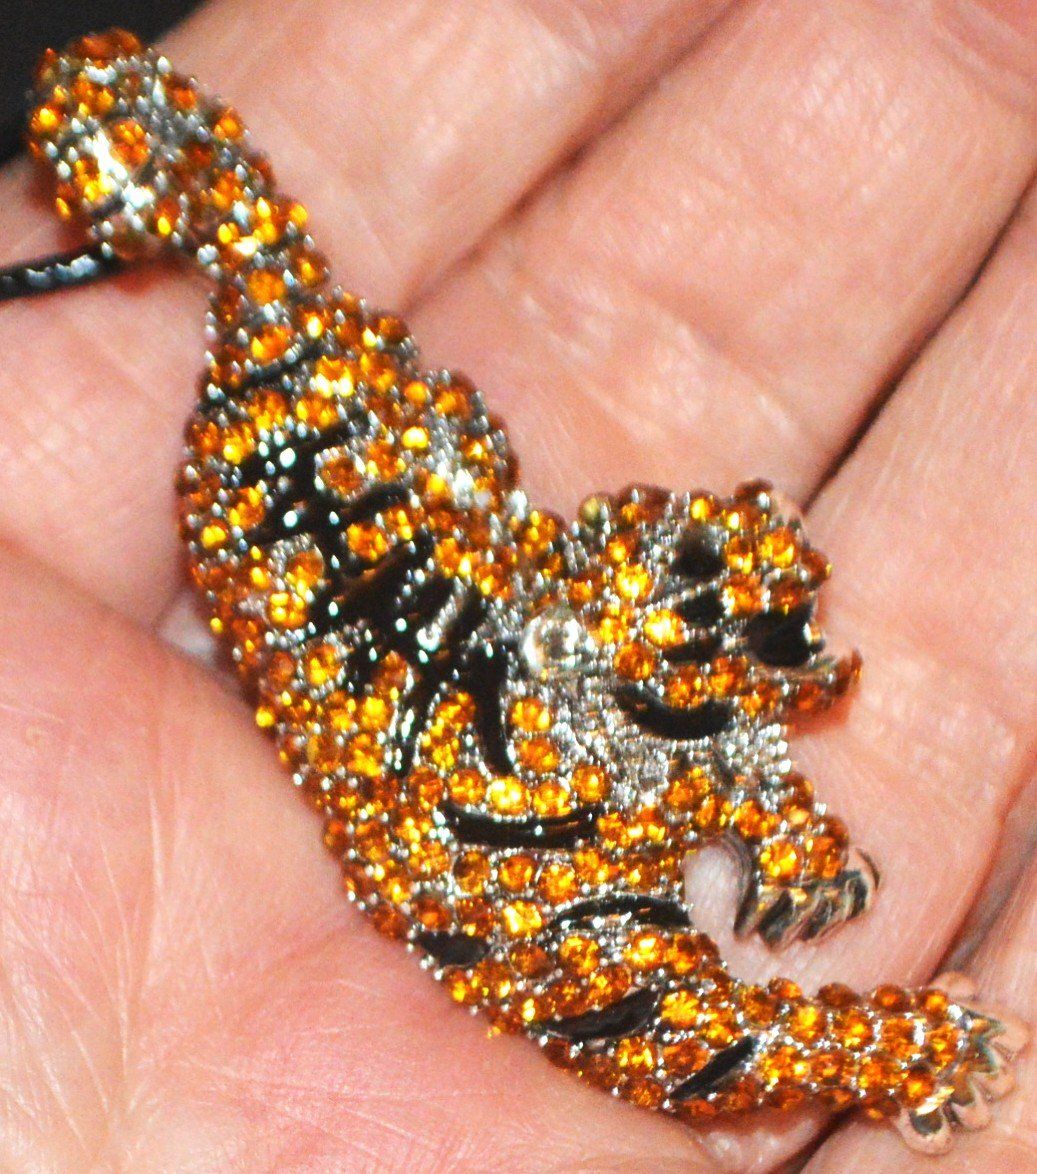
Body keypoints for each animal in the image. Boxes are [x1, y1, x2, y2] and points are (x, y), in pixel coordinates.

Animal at [21, 29, 1026, 1154]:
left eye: (715, 530)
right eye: (691, 583)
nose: (767, 524)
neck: (595, 740)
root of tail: (263, 303)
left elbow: (744, 765)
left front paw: (805, 856)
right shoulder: (635, 999)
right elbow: (773, 1034)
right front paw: (931, 1051)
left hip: (460, 431)